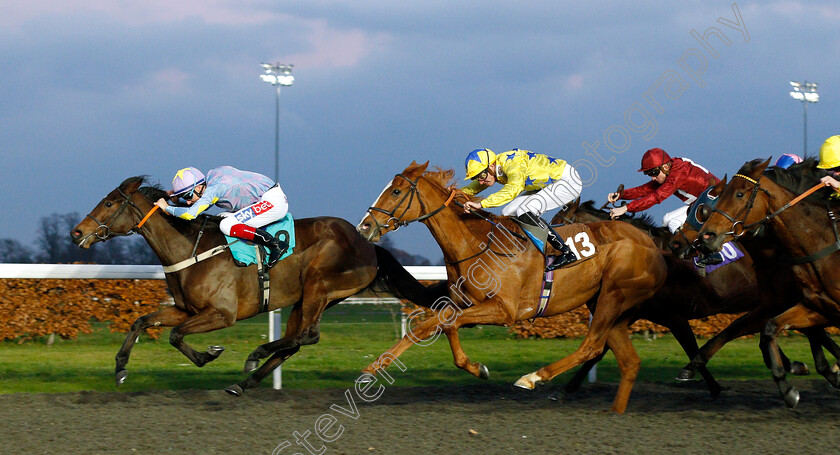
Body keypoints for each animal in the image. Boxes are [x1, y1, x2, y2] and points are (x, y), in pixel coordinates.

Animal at [70, 175, 446, 396]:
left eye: (109, 202)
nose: (76, 232)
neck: (189, 249)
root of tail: (366, 242)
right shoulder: (185, 309)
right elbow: (142, 322)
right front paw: (120, 369)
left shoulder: (222, 314)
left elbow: (175, 336)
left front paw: (209, 354)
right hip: (308, 299)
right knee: (296, 341)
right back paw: (244, 381)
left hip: (318, 284)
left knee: (309, 335)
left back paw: (254, 357)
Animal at [352, 161, 664, 414]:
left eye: (396, 191)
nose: (364, 227)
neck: (476, 243)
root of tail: (651, 244)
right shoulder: (462, 304)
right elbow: (437, 326)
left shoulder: (505, 310)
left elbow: (435, 325)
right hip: (607, 305)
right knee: (628, 360)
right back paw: (615, 411)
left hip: (613, 295)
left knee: (592, 346)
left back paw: (532, 378)